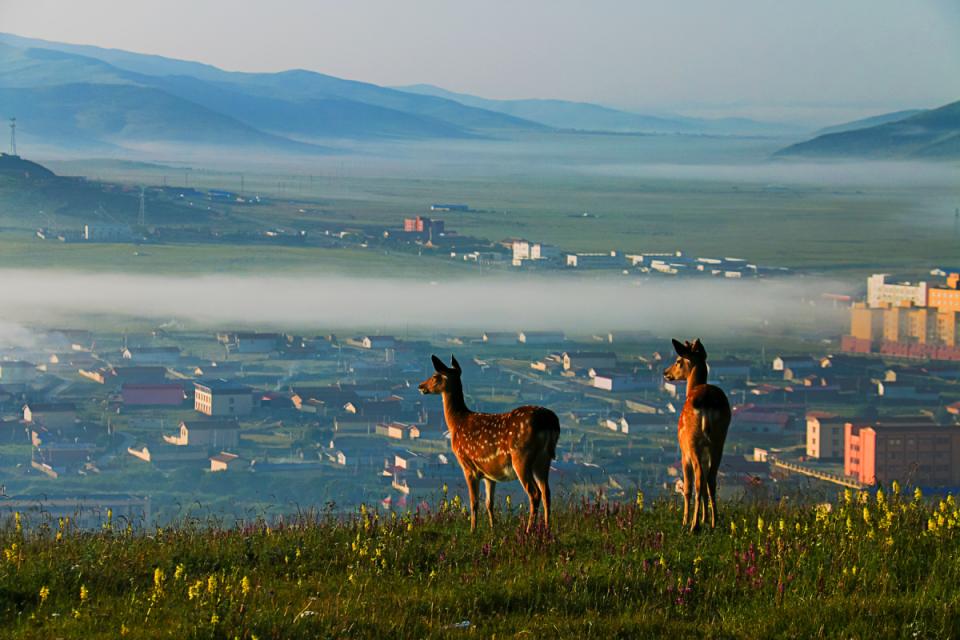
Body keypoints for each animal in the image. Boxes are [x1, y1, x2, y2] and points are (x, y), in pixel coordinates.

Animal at [419, 355, 560, 533]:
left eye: (435, 376)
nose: (421, 386)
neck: (457, 423)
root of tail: (550, 422)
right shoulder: (488, 473)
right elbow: (489, 503)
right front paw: (493, 529)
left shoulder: (468, 466)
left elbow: (474, 502)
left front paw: (472, 531)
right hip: (544, 459)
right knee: (546, 492)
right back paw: (547, 530)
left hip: (521, 457)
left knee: (534, 493)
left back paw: (529, 531)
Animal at [663, 338, 731, 532]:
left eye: (678, 361)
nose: (666, 373)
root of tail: (706, 403)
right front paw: (705, 518)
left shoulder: (684, 451)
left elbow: (687, 487)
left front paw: (686, 520)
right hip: (719, 440)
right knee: (711, 479)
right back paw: (714, 522)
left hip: (692, 441)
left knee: (699, 478)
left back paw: (694, 526)